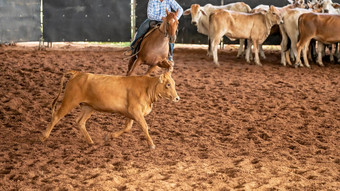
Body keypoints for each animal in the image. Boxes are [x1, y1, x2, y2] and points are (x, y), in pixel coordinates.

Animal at [40, 70, 181, 149]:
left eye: (174, 84)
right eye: (168, 84)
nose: (177, 98)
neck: (147, 88)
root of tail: (78, 74)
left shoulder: (130, 113)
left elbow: (127, 127)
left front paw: (110, 136)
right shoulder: (135, 111)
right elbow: (145, 127)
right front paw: (151, 144)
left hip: (88, 107)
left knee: (80, 122)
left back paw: (90, 141)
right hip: (70, 101)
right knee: (56, 116)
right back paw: (44, 137)